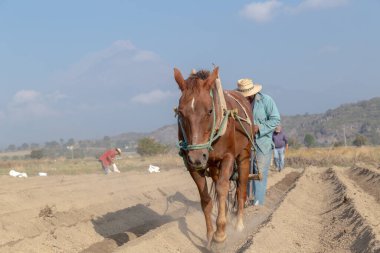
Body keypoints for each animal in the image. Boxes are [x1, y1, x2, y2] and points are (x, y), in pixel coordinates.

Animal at [174, 66, 252, 247]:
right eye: (180, 112)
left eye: (209, 110)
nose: (197, 157)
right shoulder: (191, 165)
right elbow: (205, 199)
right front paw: (210, 235)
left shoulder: (228, 157)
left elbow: (222, 188)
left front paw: (220, 234)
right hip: (212, 164)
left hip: (244, 154)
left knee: (241, 188)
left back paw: (238, 223)